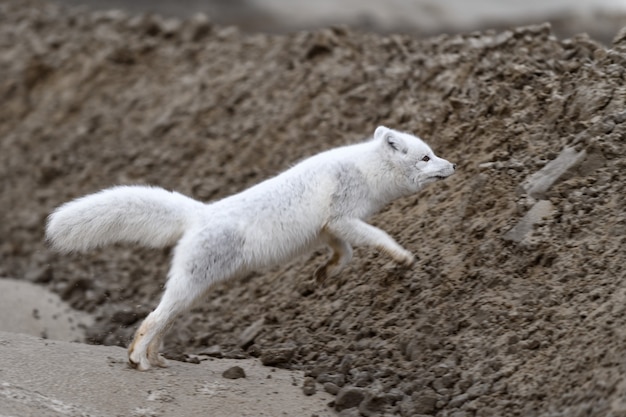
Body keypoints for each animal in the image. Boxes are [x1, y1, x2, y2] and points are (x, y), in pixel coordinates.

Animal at [45, 125, 454, 368]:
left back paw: (157, 360)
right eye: (426, 157)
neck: (367, 171)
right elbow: (379, 239)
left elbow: (346, 253)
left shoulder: (329, 228)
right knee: (151, 319)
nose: (453, 166)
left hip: (194, 291)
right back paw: (138, 361)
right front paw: (403, 257)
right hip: (190, 286)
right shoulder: (343, 217)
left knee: (162, 320)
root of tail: (201, 213)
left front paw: (324, 274)